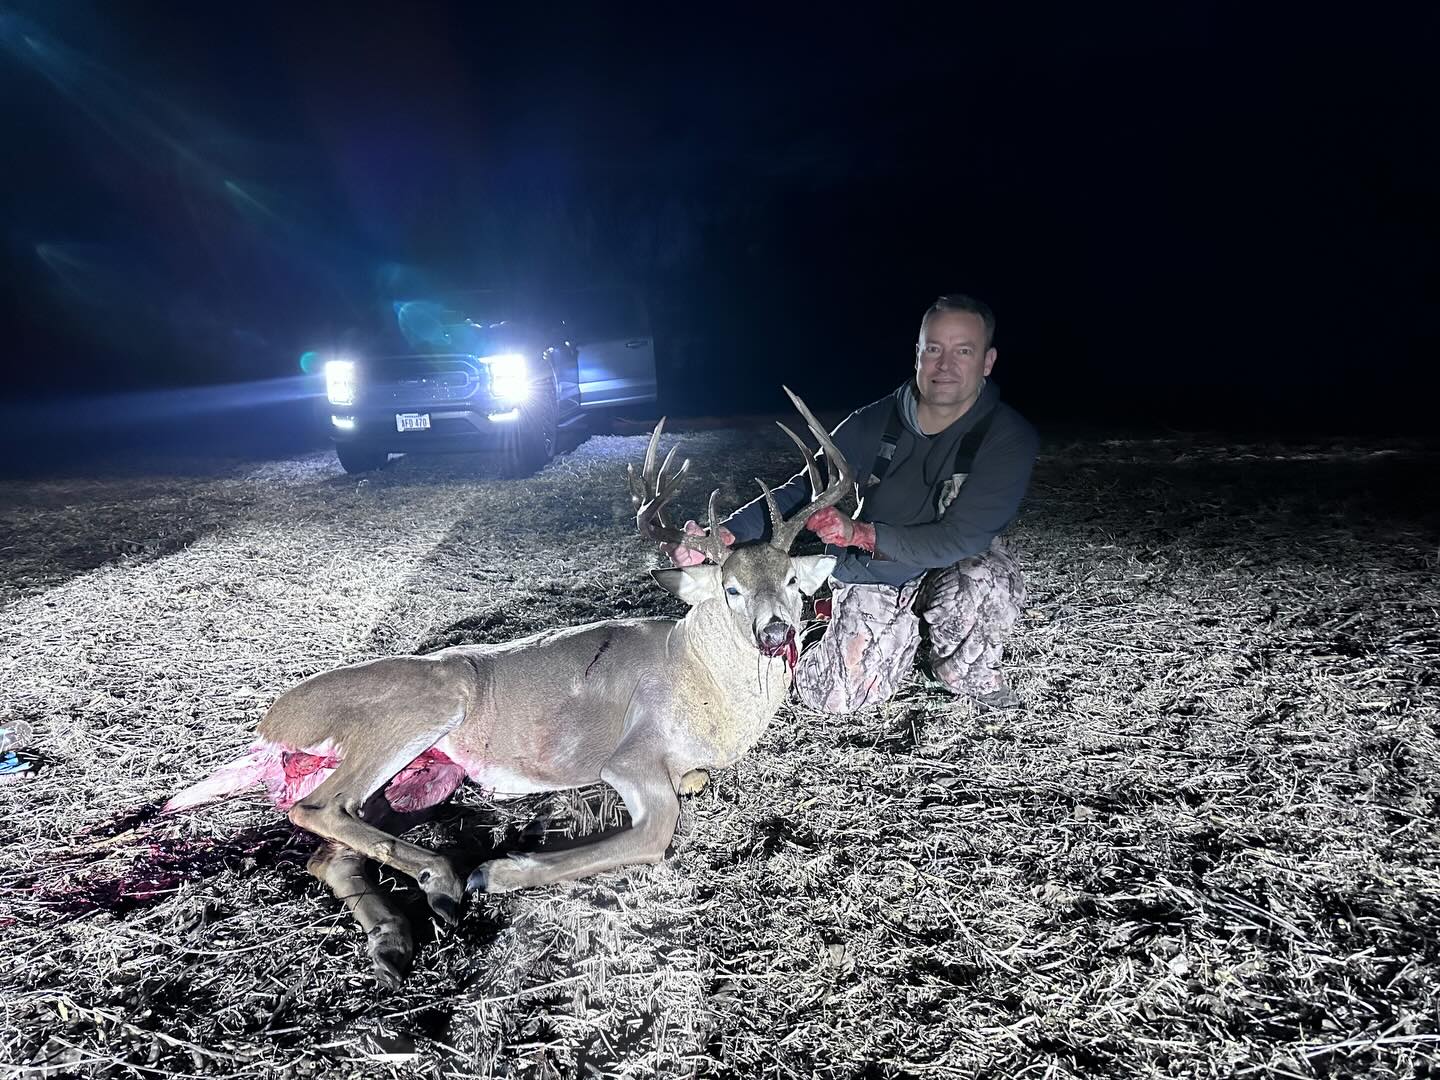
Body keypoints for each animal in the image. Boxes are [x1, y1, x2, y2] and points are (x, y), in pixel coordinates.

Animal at [161, 387, 853, 988]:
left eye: (793, 580)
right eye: (730, 588)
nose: (775, 632)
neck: (704, 685)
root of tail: (270, 725)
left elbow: (693, 785)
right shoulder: (628, 757)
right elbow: (656, 834)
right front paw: (496, 873)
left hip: (424, 777)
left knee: (329, 851)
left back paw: (395, 941)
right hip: (429, 704)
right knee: (320, 808)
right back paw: (446, 881)